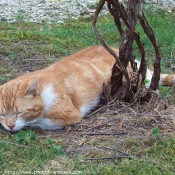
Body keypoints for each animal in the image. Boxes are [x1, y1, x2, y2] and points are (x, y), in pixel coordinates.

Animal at [0, 45, 174, 132]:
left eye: (20, 112)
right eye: (1, 114)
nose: (10, 125)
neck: (42, 90)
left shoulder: (70, 114)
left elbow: (39, 121)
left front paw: (31, 122)